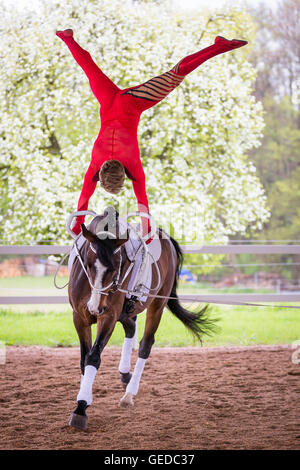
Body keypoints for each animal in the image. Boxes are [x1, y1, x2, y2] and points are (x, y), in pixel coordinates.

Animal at [67, 209, 213, 430]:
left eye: (116, 267)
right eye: (89, 263)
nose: (95, 307)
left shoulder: (108, 317)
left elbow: (93, 357)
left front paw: (81, 407)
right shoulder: (80, 317)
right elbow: (85, 358)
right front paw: (86, 397)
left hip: (156, 305)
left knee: (145, 344)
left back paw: (129, 394)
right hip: (125, 313)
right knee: (131, 328)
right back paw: (125, 375)